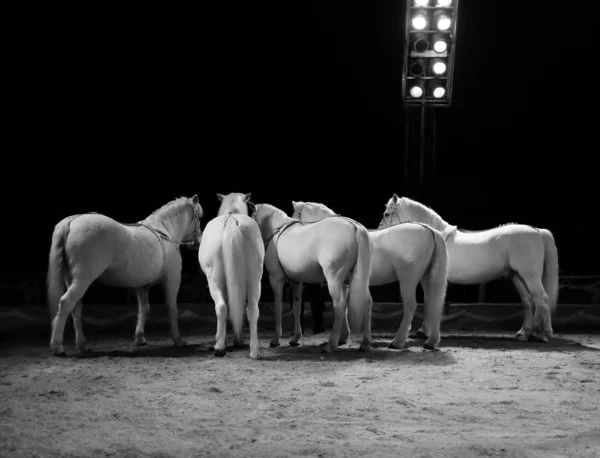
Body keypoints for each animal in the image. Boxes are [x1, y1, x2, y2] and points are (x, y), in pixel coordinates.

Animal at [45, 195, 204, 356]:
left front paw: (140, 338)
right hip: (82, 279)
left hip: (70, 279)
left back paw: (83, 345)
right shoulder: (172, 279)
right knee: (66, 303)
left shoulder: (142, 285)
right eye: (198, 217)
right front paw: (178, 340)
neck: (164, 232)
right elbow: (172, 309)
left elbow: (144, 309)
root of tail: (72, 220)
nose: (198, 243)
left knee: (75, 307)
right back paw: (57, 346)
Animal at [198, 191, 264, 360]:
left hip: (214, 282)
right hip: (254, 280)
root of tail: (231, 224)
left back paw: (220, 347)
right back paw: (254, 351)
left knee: (221, 307)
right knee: (252, 309)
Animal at [250, 201, 372, 354]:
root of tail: (354, 226)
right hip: (355, 279)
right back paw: (365, 343)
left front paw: (275, 339)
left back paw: (331, 344)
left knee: (340, 306)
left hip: (334, 279)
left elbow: (278, 308)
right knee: (366, 302)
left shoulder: (276, 279)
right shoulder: (296, 281)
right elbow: (296, 308)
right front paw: (295, 339)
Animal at [292, 200, 448, 350]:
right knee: (433, 303)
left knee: (411, 305)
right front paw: (343, 337)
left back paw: (397, 342)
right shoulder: (344, 282)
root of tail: (428, 228)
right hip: (427, 279)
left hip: (408, 280)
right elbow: (345, 307)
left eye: (294, 216)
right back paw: (431, 341)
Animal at [380, 194, 556, 344]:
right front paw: (423, 331)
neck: (437, 237)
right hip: (519, 277)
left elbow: (429, 301)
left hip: (530, 276)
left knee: (542, 299)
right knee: (530, 301)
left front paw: (423, 331)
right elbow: (429, 301)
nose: (380, 231)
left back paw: (543, 335)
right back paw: (526, 332)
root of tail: (537, 231)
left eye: (387, 214)